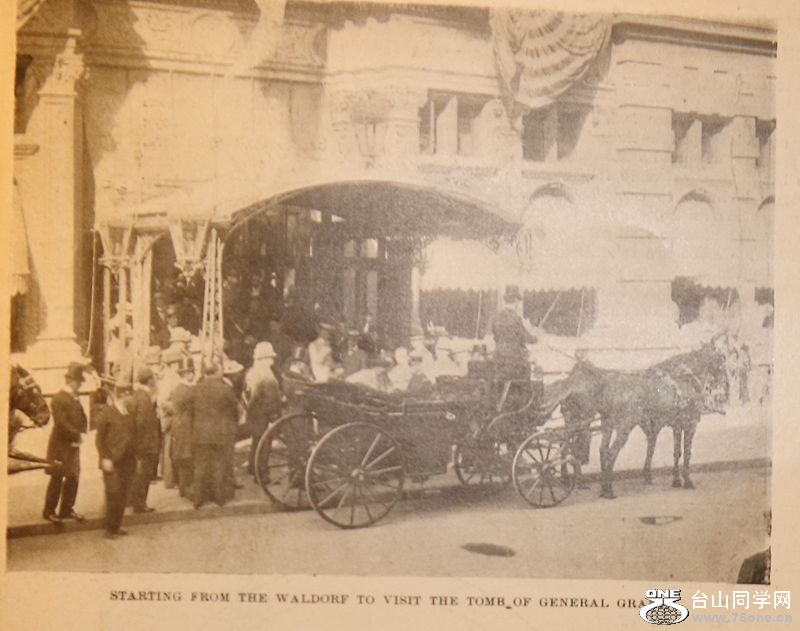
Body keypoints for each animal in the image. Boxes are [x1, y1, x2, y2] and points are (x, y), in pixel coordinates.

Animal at [547, 341, 728, 499]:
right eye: (720, 358)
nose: (725, 383)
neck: (684, 379)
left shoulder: (675, 426)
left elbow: (676, 452)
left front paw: (676, 480)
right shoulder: (689, 424)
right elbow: (686, 453)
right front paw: (687, 481)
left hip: (606, 425)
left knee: (599, 450)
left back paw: (598, 486)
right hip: (618, 426)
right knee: (605, 452)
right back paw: (606, 489)